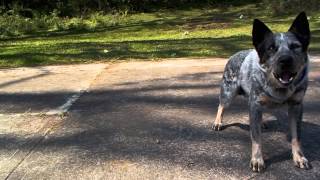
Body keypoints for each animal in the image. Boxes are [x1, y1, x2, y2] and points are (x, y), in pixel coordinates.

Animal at [214, 11, 312, 172]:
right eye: (271, 48)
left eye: (295, 46)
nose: (285, 60)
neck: (279, 89)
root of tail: (236, 54)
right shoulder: (255, 104)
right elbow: (256, 138)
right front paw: (257, 159)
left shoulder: (296, 106)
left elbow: (296, 137)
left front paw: (299, 157)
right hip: (228, 92)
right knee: (221, 106)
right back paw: (217, 122)